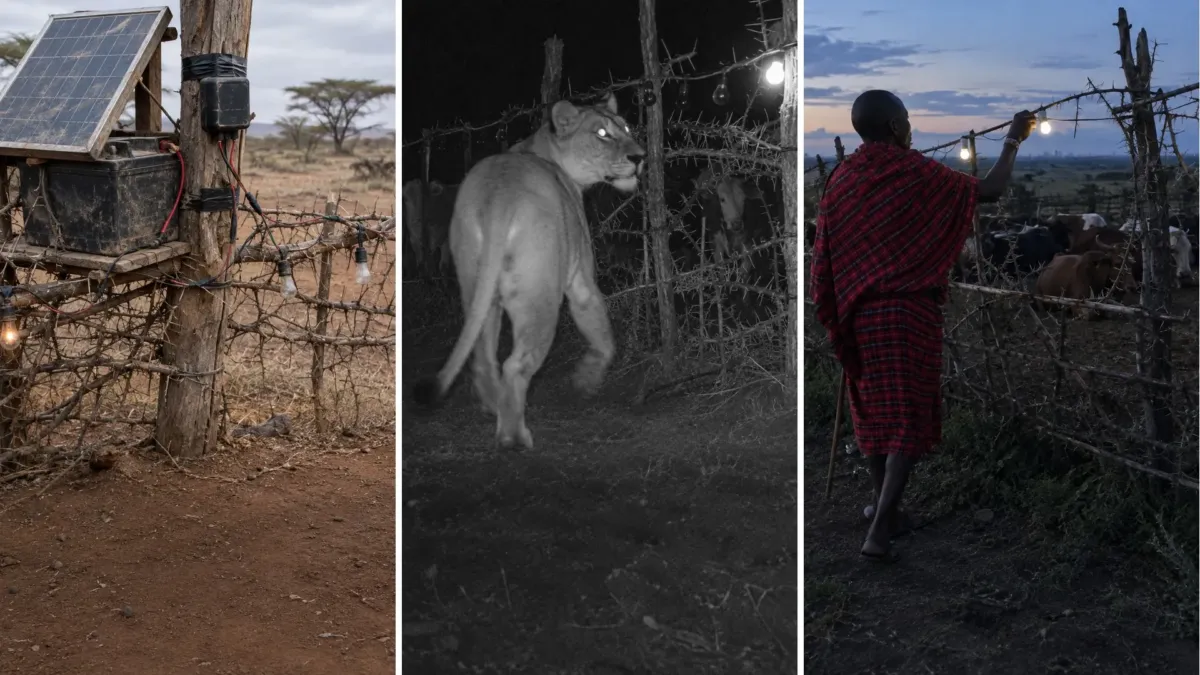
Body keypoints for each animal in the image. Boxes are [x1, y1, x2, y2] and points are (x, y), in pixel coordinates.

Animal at [413, 93, 645, 451]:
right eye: (602, 133)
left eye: (627, 128)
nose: (640, 157)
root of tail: (498, 198)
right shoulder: (581, 280)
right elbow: (604, 338)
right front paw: (586, 380)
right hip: (541, 296)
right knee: (515, 365)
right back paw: (514, 437)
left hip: (479, 287)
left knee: (483, 357)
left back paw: (494, 405)